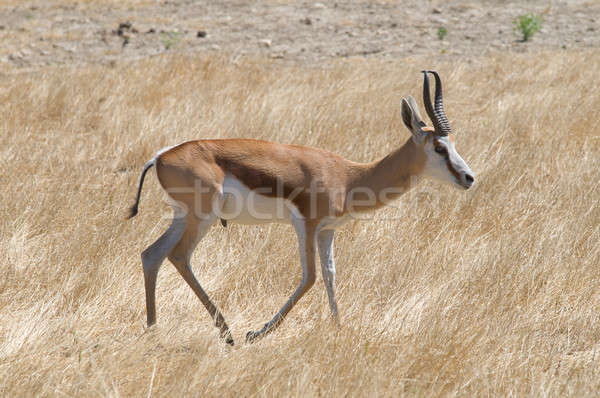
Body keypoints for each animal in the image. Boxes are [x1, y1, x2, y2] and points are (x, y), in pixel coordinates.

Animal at [126, 71, 474, 346]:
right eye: (439, 147)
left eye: (454, 143)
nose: (469, 178)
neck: (348, 176)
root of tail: (161, 156)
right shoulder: (306, 225)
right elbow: (310, 278)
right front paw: (258, 333)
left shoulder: (327, 231)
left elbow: (331, 275)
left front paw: (338, 329)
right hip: (203, 217)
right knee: (179, 256)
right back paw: (227, 333)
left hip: (183, 217)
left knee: (152, 254)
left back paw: (153, 330)